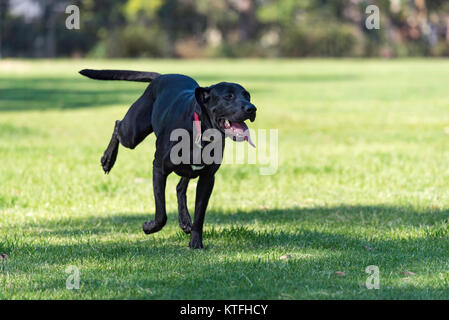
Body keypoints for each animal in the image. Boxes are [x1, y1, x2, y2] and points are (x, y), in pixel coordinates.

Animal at [79, 69, 256, 249]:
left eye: (247, 95)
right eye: (228, 96)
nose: (252, 108)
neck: (200, 129)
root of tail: (162, 75)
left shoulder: (207, 178)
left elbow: (199, 214)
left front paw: (195, 242)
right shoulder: (159, 169)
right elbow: (161, 213)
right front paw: (149, 227)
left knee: (180, 188)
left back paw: (185, 221)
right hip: (132, 132)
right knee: (117, 125)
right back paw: (107, 160)